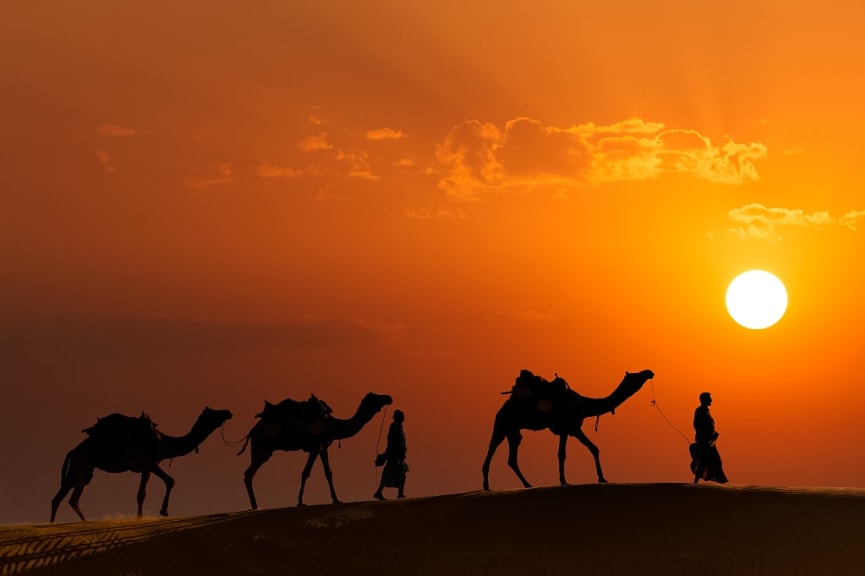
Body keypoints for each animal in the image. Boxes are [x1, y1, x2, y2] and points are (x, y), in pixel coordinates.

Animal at [49, 404, 233, 520]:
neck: (163, 443)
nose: (228, 412)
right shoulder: (151, 462)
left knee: (60, 498)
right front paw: (164, 511)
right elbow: (171, 481)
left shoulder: (146, 468)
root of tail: (72, 451)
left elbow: (141, 494)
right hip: (82, 466)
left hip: (78, 470)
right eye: (214, 413)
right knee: (70, 498)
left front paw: (140, 517)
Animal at [236, 392, 392, 508]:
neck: (332, 425)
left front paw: (336, 499)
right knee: (249, 473)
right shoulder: (315, 446)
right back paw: (255, 505)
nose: (389, 397)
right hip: (262, 448)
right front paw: (300, 502)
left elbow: (328, 473)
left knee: (249, 473)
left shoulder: (323, 447)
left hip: (261, 450)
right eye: (375, 397)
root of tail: (252, 431)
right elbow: (306, 472)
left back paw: (255, 505)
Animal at [480, 368, 656, 490]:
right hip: (502, 424)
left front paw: (602, 478)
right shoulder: (565, 429)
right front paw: (564, 481)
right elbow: (561, 454)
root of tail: (504, 406)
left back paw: (527, 483)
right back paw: (487, 485)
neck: (582, 405)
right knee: (492, 449)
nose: (649, 372)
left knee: (512, 457)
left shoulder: (574, 429)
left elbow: (594, 448)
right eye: (635, 376)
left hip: (513, 431)